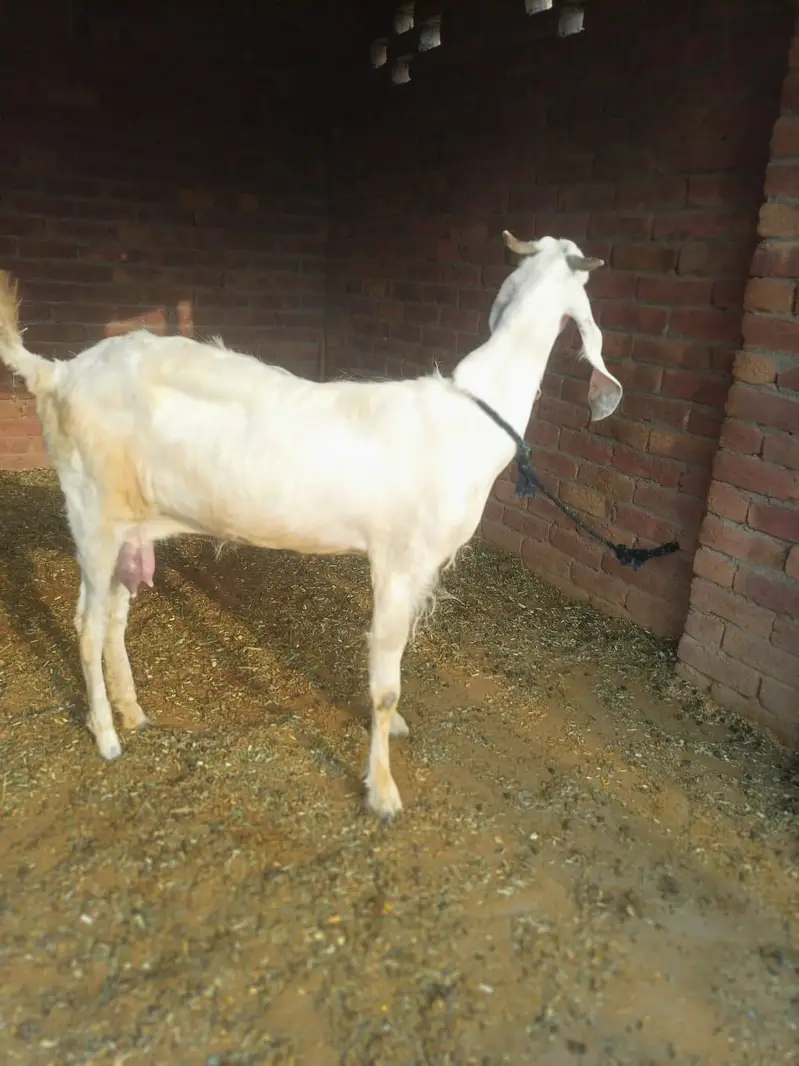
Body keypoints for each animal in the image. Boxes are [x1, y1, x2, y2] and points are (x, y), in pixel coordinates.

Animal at [0, 231, 621, 820]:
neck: (470, 417)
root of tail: (57, 373)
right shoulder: (398, 560)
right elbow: (385, 684)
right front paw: (383, 791)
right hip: (91, 511)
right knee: (85, 624)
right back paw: (106, 736)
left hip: (130, 526)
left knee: (113, 618)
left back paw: (132, 711)